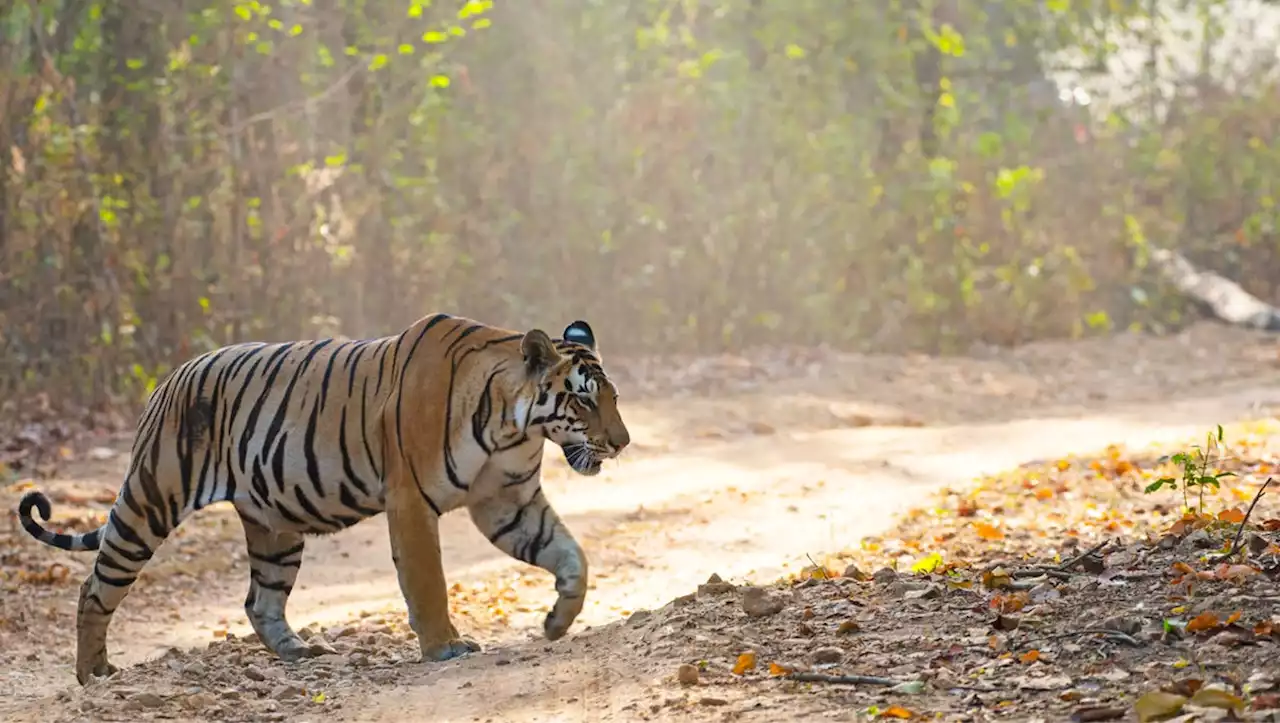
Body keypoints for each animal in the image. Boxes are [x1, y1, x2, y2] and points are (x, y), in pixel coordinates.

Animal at [18, 314, 629, 680]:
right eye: (583, 401)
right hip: (150, 501)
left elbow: (570, 554)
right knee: (95, 589)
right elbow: (428, 581)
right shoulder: (411, 500)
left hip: (275, 525)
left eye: (614, 398)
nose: (622, 442)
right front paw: (444, 647)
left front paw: (558, 621)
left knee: (260, 601)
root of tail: (167, 379)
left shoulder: (507, 502)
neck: (514, 423)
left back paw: (301, 651)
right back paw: (93, 673)